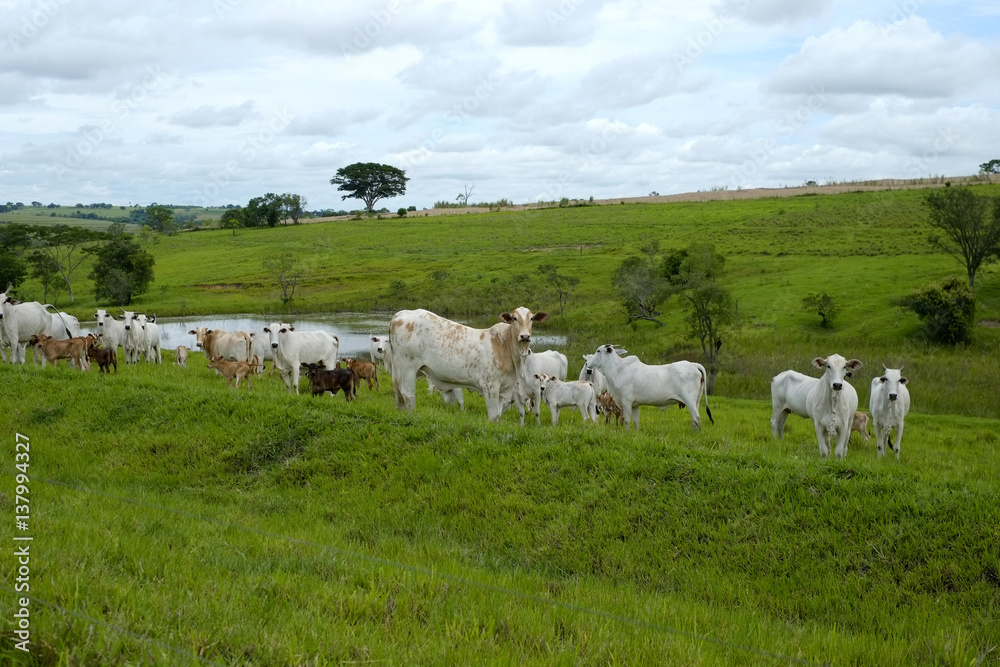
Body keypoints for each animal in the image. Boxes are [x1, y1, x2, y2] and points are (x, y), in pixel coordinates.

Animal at [389, 307, 549, 423]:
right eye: (514, 318)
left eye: (532, 318)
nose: (525, 336)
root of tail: (402, 313)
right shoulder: (490, 386)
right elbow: (493, 416)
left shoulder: (504, 389)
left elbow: (498, 415)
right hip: (407, 367)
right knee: (407, 394)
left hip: (398, 370)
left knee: (398, 395)